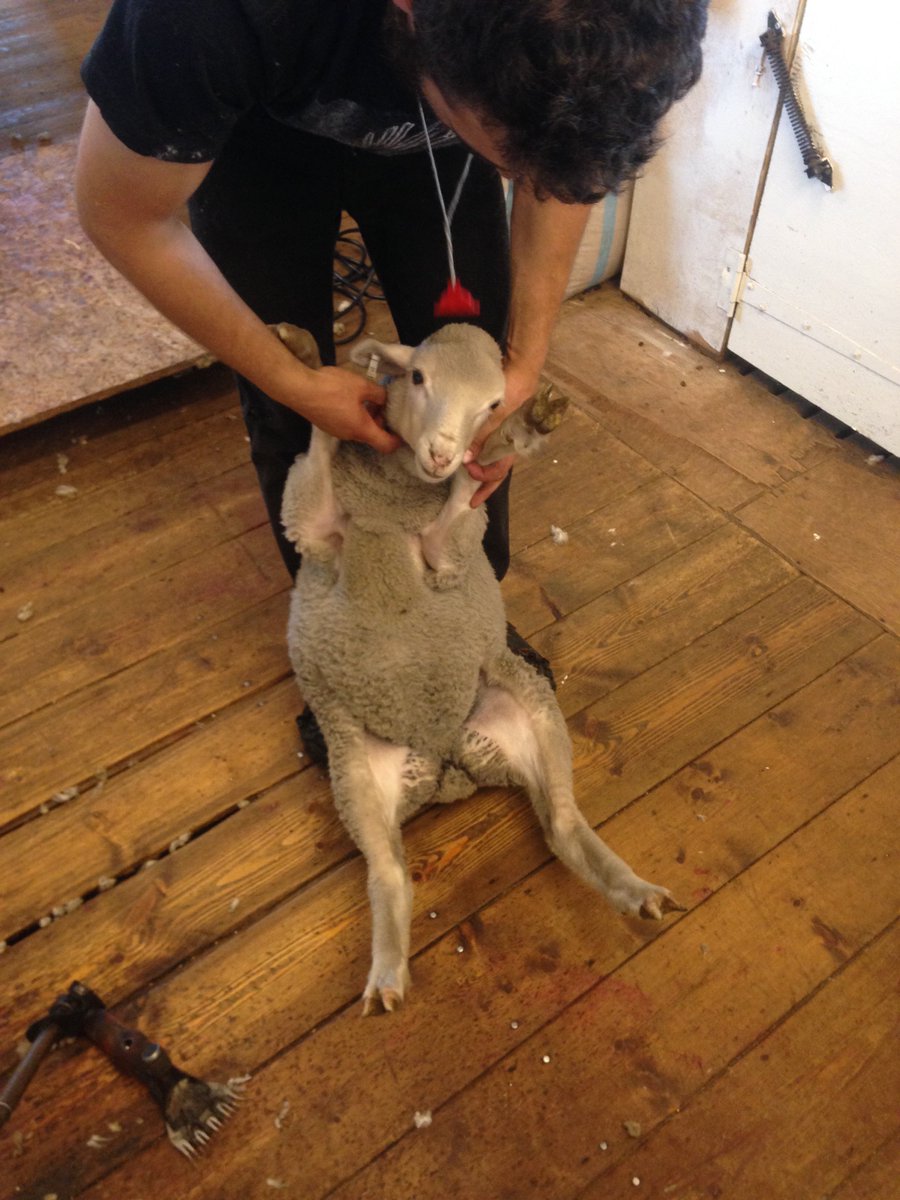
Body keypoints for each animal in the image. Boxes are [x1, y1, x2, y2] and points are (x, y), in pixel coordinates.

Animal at [277, 321, 683, 1016]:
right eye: (417, 377)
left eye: (492, 403)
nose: (442, 453)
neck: (393, 502)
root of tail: (446, 760)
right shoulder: (313, 523)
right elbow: (322, 441)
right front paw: (308, 363)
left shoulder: (446, 551)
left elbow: (466, 497)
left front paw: (530, 424)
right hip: (355, 769)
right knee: (390, 873)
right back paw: (388, 978)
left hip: (533, 711)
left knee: (563, 825)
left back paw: (637, 894)